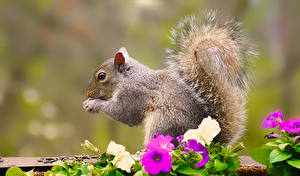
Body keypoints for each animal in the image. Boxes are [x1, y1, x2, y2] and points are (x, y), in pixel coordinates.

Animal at [82, 11, 255, 146]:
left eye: (102, 76)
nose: (88, 93)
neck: (128, 77)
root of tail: (207, 141)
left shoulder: (134, 93)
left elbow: (123, 112)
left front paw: (93, 104)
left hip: (163, 122)